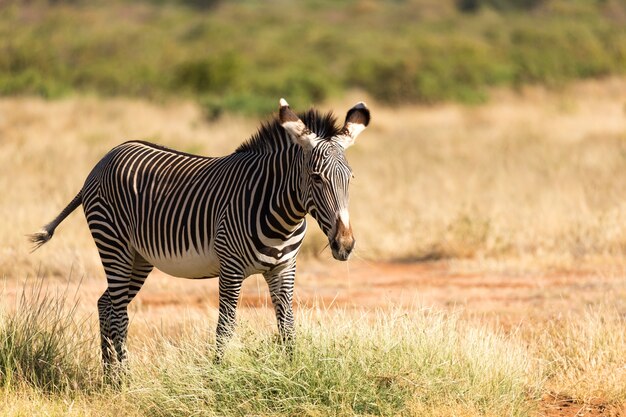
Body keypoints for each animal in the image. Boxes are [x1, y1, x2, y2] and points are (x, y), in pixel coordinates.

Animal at [29, 99, 368, 366]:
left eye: (350, 178)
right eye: (316, 177)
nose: (345, 244)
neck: (281, 215)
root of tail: (106, 157)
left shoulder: (284, 268)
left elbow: (287, 327)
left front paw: (291, 372)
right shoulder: (230, 268)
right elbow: (225, 328)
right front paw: (218, 378)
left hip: (139, 257)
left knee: (106, 304)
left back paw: (109, 375)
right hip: (113, 244)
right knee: (118, 313)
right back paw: (124, 379)